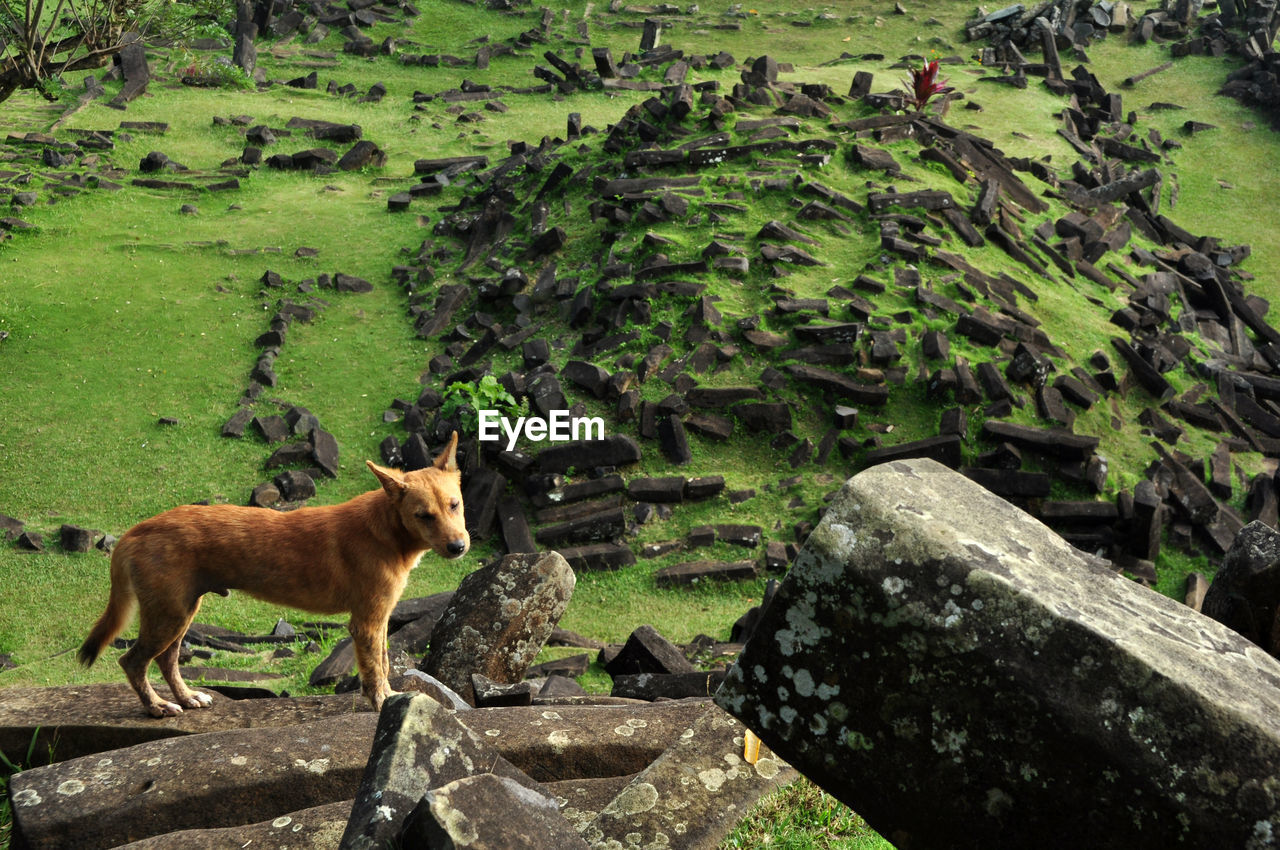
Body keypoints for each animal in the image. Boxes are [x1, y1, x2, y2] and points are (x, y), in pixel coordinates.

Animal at [76, 432, 465, 716]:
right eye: (423, 515)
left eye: (454, 505)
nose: (459, 546)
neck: (386, 530)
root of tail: (135, 531)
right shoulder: (367, 620)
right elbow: (375, 669)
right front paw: (383, 702)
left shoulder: (380, 616)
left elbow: (382, 660)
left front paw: (390, 697)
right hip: (168, 614)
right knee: (132, 661)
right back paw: (157, 706)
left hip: (181, 610)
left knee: (166, 660)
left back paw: (187, 698)